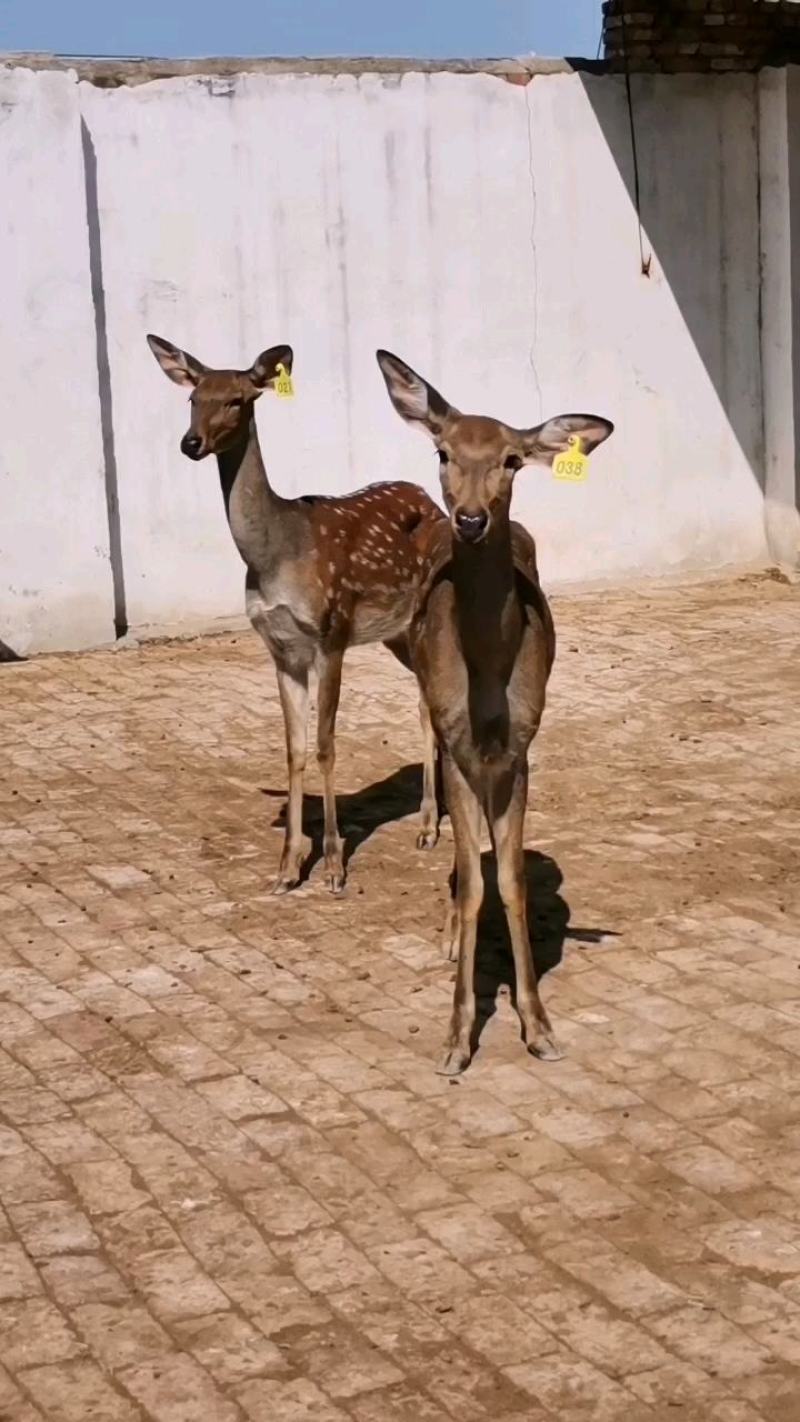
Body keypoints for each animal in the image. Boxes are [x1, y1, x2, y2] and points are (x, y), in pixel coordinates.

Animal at [147, 335, 445, 895]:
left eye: (237, 399)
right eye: (193, 397)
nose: (190, 443)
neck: (275, 556)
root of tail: (430, 498)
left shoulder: (330, 632)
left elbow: (326, 745)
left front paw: (332, 865)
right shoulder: (281, 648)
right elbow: (294, 749)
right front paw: (286, 867)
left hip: (424, 617)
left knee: (429, 703)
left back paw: (428, 825)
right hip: (395, 633)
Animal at [376, 349, 613, 1075]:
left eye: (512, 459)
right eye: (443, 450)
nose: (473, 519)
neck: (486, 679)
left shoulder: (520, 748)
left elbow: (507, 881)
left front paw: (539, 1027)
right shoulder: (461, 746)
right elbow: (475, 881)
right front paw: (456, 1039)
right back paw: (451, 927)